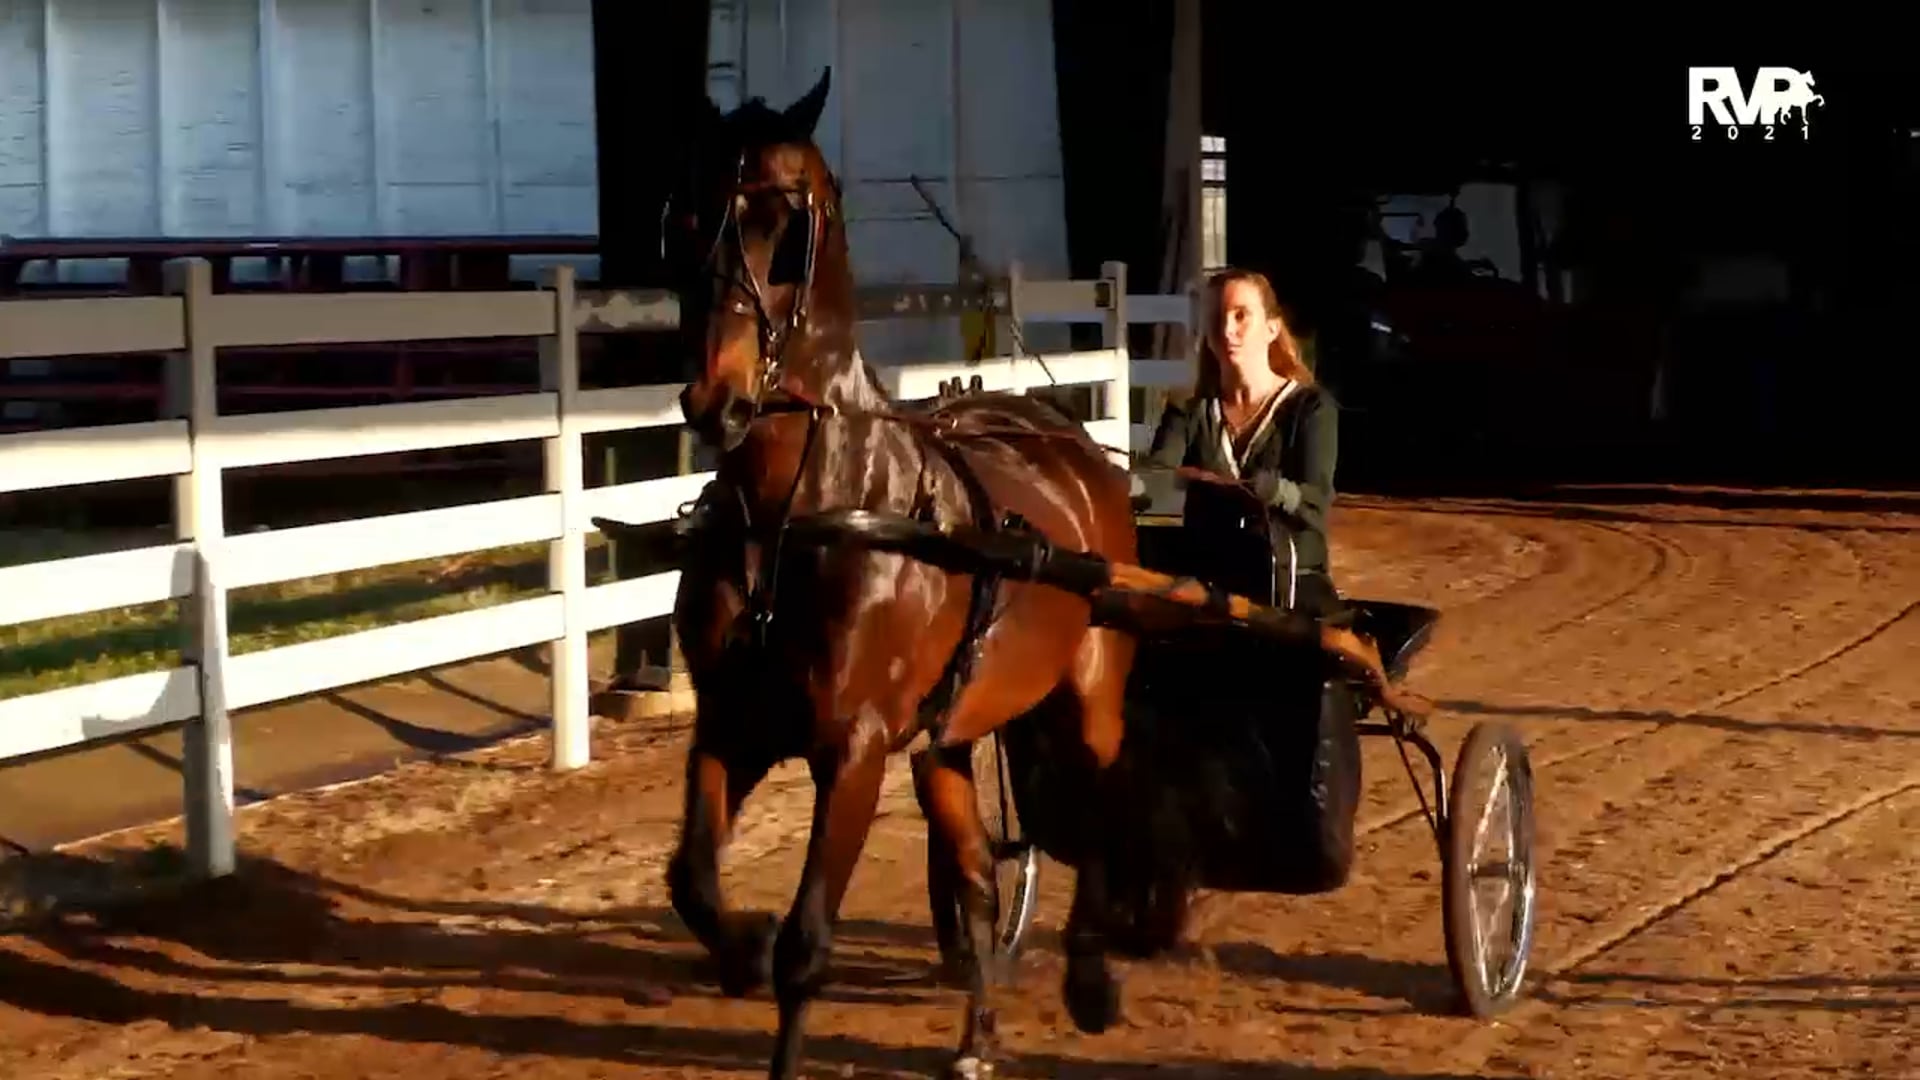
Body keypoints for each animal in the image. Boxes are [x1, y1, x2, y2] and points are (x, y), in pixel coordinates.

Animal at [658, 69, 1143, 1078]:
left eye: (786, 222)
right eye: (684, 218)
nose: (716, 400)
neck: (804, 510)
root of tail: (1067, 440)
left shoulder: (853, 746)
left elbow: (809, 943)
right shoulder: (733, 724)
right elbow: (691, 880)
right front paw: (740, 951)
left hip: (1088, 693)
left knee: (1098, 815)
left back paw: (1089, 979)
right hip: (948, 740)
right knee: (976, 881)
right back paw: (978, 1035)